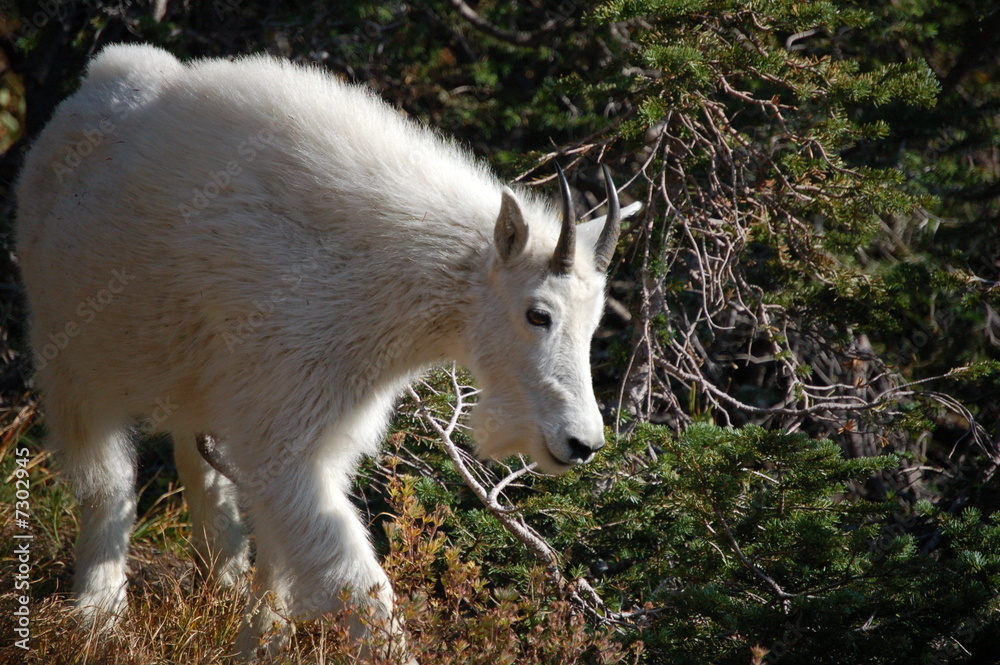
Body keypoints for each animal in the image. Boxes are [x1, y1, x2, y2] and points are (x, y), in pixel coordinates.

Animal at [15, 43, 634, 659]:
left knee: (202, 474)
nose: (582, 443)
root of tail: (88, 88)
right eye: (538, 314)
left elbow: (283, 559)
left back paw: (220, 588)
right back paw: (98, 617)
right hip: (69, 353)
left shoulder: (322, 427)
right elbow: (358, 584)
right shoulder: (285, 427)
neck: (377, 271)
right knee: (106, 483)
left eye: (594, 321)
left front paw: (257, 644)